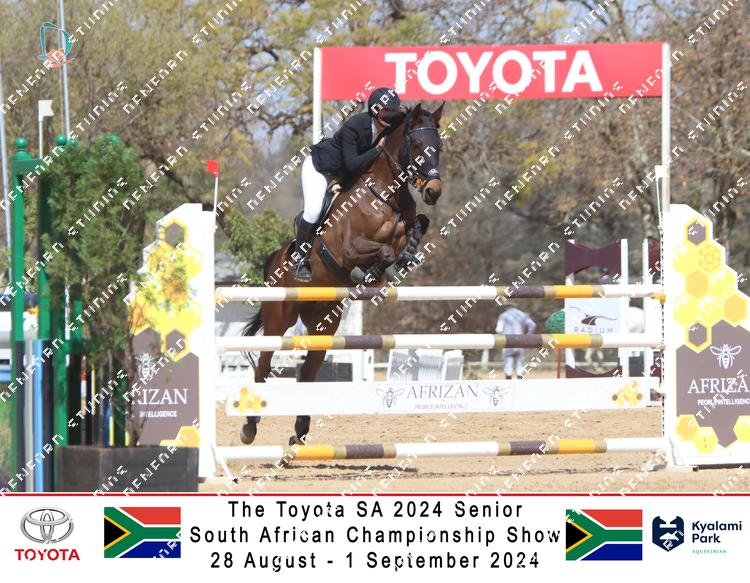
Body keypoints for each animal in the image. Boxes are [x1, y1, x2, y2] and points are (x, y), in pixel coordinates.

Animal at [240, 102, 444, 446]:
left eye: (439, 147)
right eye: (416, 145)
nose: (433, 191)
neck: (385, 193)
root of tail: (274, 261)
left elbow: (418, 227)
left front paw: (407, 255)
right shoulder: (348, 249)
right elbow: (383, 252)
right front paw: (373, 274)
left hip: (323, 324)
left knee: (308, 374)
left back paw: (301, 430)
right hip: (278, 319)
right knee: (263, 368)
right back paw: (250, 427)